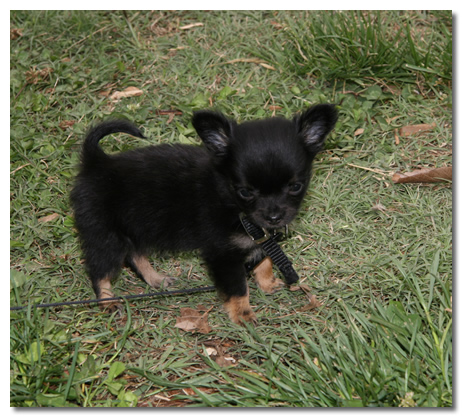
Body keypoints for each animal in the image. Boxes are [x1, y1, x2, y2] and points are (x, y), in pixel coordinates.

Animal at [70, 105, 338, 324]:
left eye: (296, 186)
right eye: (244, 192)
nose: (274, 217)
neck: (230, 200)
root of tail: (96, 162)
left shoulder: (261, 237)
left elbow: (265, 260)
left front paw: (267, 282)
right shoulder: (223, 254)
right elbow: (238, 288)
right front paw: (243, 316)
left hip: (135, 227)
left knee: (135, 255)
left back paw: (156, 280)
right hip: (105, 235)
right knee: (100, 271)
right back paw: (107, 301)